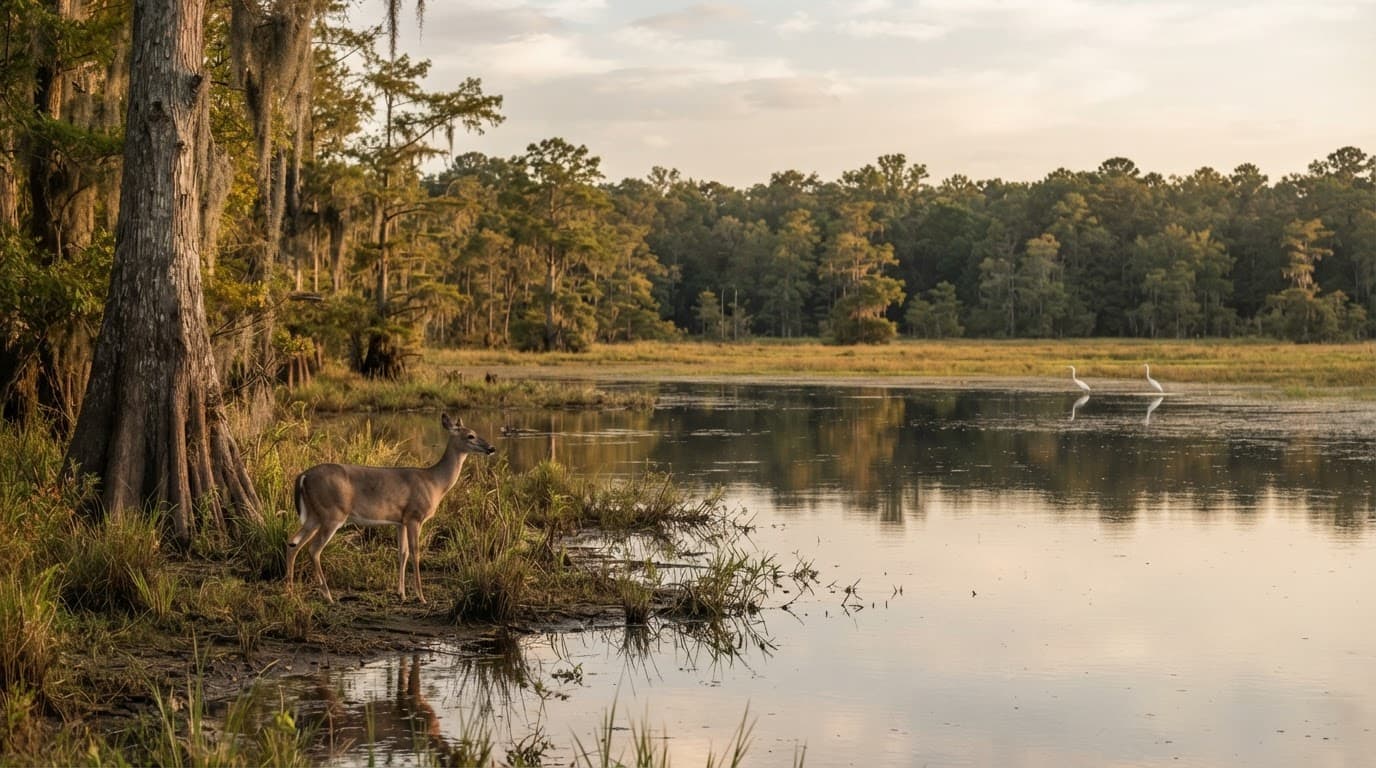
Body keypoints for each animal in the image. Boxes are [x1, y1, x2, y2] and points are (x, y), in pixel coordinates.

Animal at [286, 413, 496, 604]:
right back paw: (327, 596)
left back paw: (290, 591)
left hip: (314, 516)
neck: (435, 482)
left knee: (293, 544)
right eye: (470, 435)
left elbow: (402, 553)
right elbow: (415, 552)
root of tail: (303, 476)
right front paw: (421, 597)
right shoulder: (414, 516)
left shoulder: (400, 521)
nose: (491, 448)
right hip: (332, 514)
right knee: (313, 549)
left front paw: (401, 594)